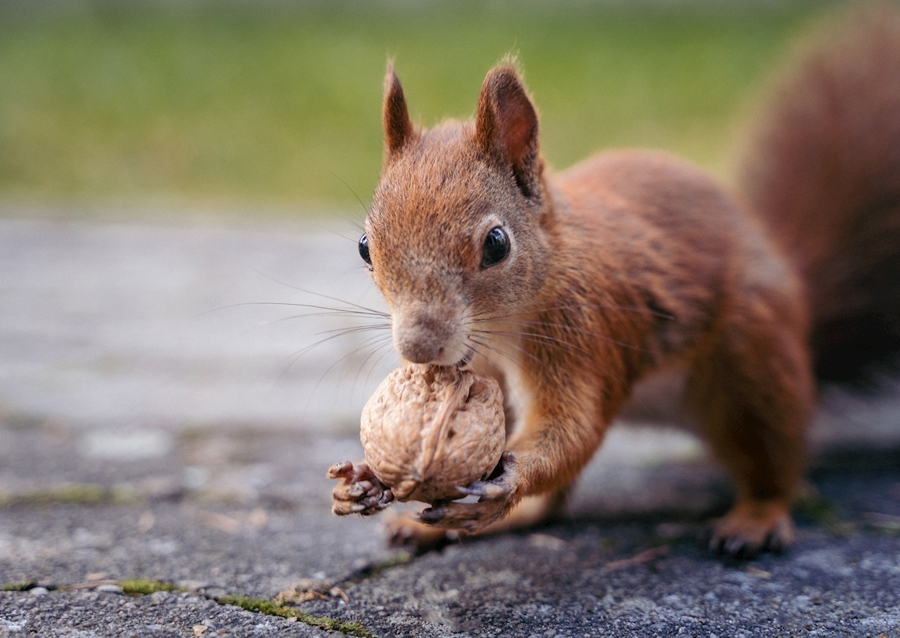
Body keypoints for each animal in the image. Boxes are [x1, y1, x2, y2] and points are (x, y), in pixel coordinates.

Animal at [330, 3, 900, 558]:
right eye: (364, 247)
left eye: (496, 244)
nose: (419, 348)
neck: (508, 324)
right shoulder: (485, 371)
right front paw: (367, 478)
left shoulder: (582, 334)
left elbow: (573, 429)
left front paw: (505, 482)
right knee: (552, 507)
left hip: (753, 360)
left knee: (773, 461)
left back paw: (755, 520)